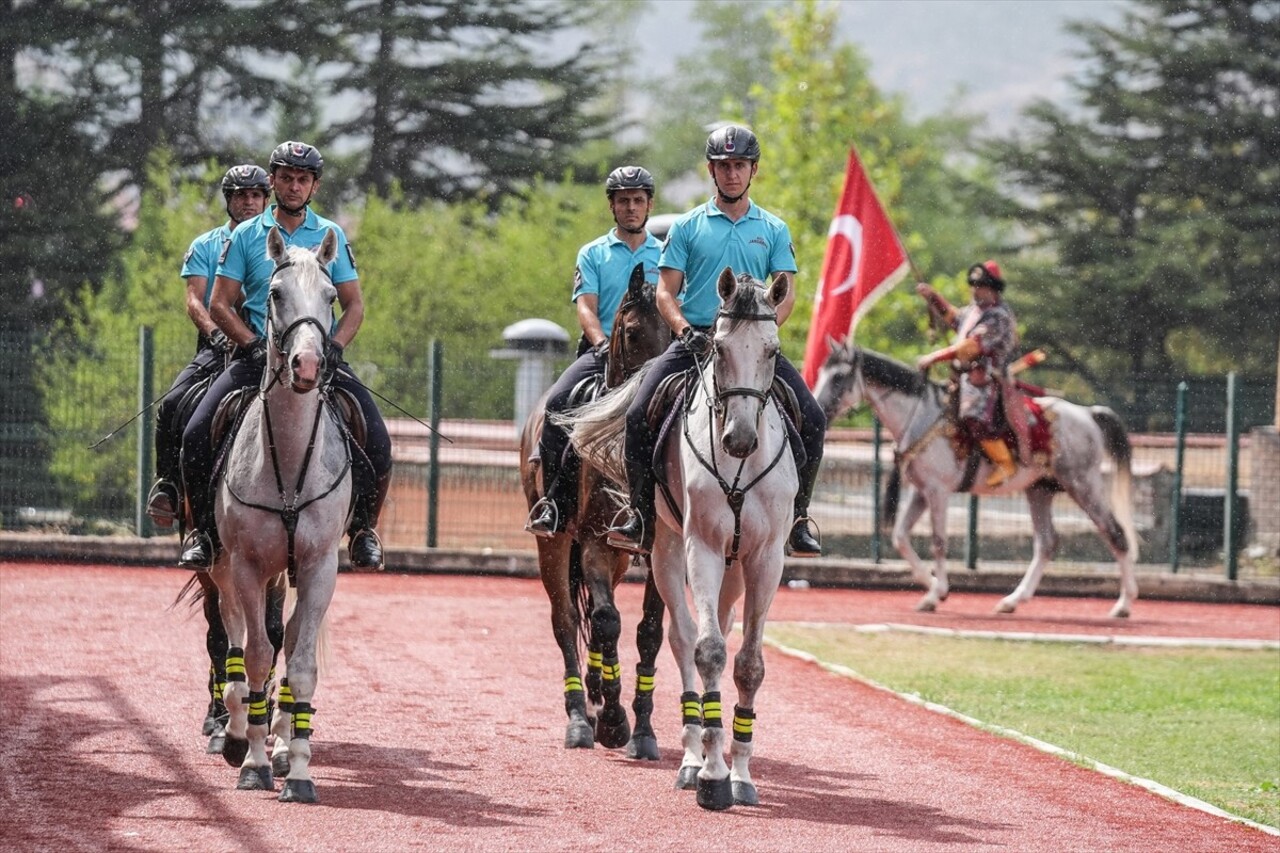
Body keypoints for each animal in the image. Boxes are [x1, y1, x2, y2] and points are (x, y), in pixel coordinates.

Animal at [517, 266, 670, 753]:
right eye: (633, 332)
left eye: (675, 334)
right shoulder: (593, 545)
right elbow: (605, 620)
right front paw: (615, 722)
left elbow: (647, 632)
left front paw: (642, 731)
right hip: (554, 544)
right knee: (567, 620)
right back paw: (580, 719)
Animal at [573, 268, 793, 809]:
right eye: (718, 347)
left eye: (772, 351)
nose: (739, 438)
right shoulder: (703, 548)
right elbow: (707, 650)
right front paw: (713, 776)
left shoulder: (766, 559)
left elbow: (749, 664)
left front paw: (741, 776)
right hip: (667, 552)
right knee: (680, 636)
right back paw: (690, 759)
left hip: (734, 570)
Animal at [814, 343, 1136, 614]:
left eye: (839, 377)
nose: (819, 409)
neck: (920, 417)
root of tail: (1088, 414)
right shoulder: (921, 492)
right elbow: (900, 537)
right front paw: (934, 588)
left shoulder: (938, 491)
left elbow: (938, 541)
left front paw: (935, 593)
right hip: (1039, 490)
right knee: (1046, 542)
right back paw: (1013, 600)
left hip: (1082, 484)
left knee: (1116, 533)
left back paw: (1124, 604)